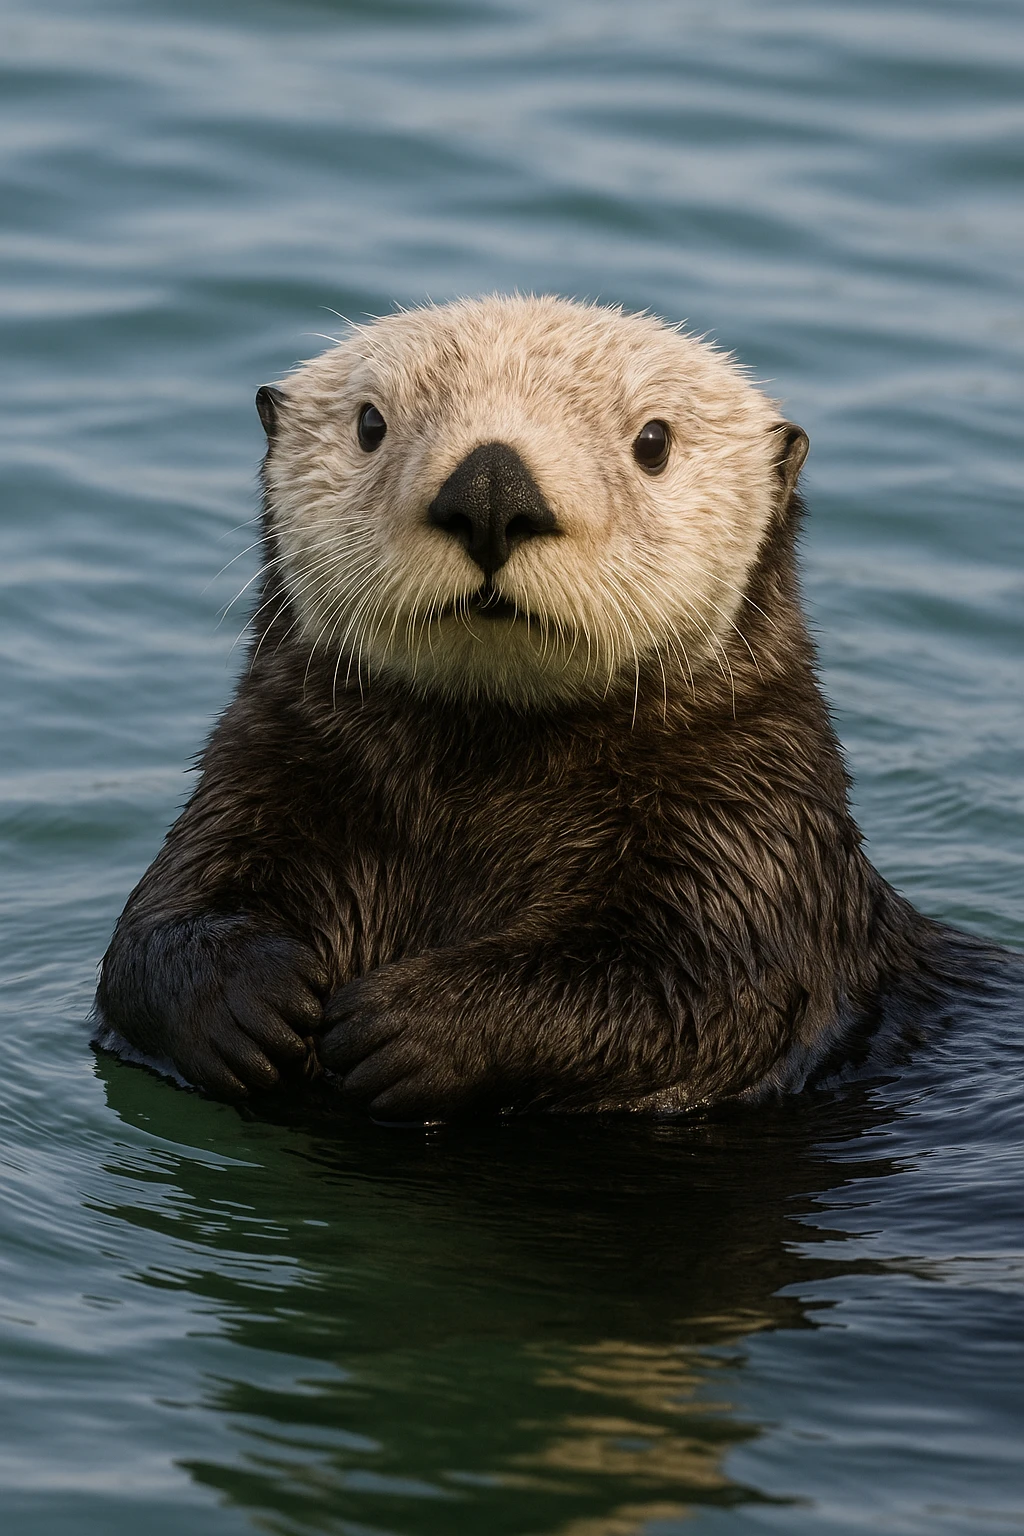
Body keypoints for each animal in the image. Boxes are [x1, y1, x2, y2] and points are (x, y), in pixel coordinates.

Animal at [94, 295, 1001, 1119]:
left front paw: (416, 1023)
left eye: (653, 442)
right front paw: (253, 1001)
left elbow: (695, 995)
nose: (492, 488)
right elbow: (151, 930)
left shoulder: (749, 838)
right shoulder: (266, 771)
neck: (484, 765)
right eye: (370, 423)